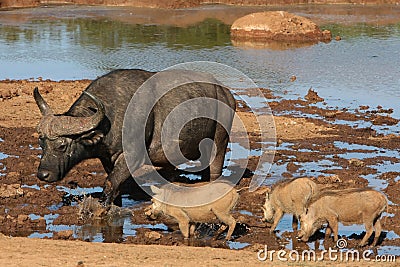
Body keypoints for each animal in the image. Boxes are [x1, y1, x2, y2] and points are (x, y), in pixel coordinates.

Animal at [34, 68, 236, 205]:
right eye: (42, 144)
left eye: (62, 146)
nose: (43, 174)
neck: (111, 118)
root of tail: (226, 93)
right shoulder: (108, 159)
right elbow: (115, 189)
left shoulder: (132, 158)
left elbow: (110, 184)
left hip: (220, 142)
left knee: (215, 170)